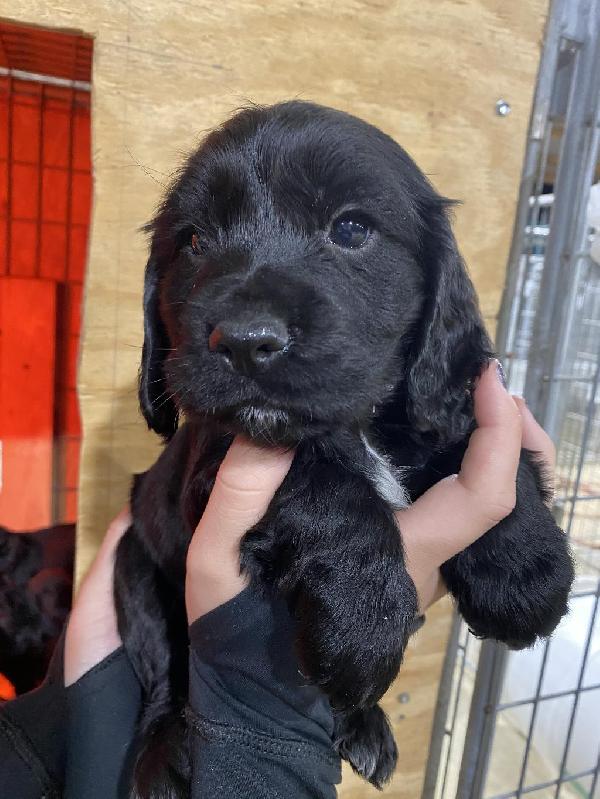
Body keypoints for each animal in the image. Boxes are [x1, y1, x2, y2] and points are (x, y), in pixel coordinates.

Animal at [113, 103, 576, 796]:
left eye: (352, 229)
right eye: (193, 243)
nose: (245, 340)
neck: (356, 425)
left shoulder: (443, 402)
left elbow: (486, 440)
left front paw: (526, 570)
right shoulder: (216, 460)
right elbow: (324, 483)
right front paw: (365, 619)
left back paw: (364, 724)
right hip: (136, 570)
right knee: (166, 667)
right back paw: (163, 753)